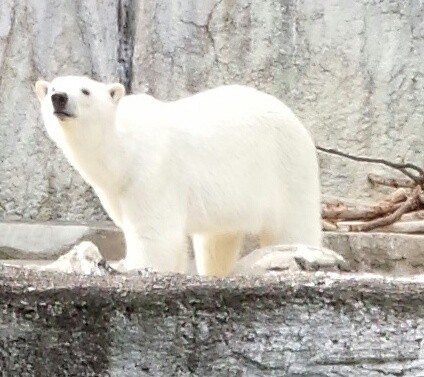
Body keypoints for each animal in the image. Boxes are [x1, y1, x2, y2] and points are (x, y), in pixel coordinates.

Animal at [34, 75, 322, 276]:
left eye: (85, 90)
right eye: (52, 87)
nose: (59, 98)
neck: (123, 147)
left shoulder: (151, 171)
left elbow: (154, 234)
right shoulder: (117, 188)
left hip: (286, 167)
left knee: (292, 226)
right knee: (216, 241)